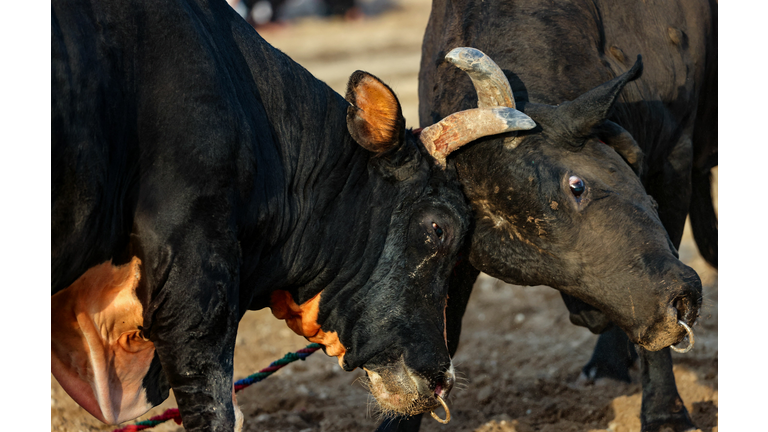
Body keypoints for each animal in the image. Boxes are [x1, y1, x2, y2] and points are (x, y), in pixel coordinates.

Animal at [378, 0, 720, 432]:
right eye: (525, 266)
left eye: (576, 185)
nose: (666, 313)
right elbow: (444, 328)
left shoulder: (675, 158)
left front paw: (665, 414)